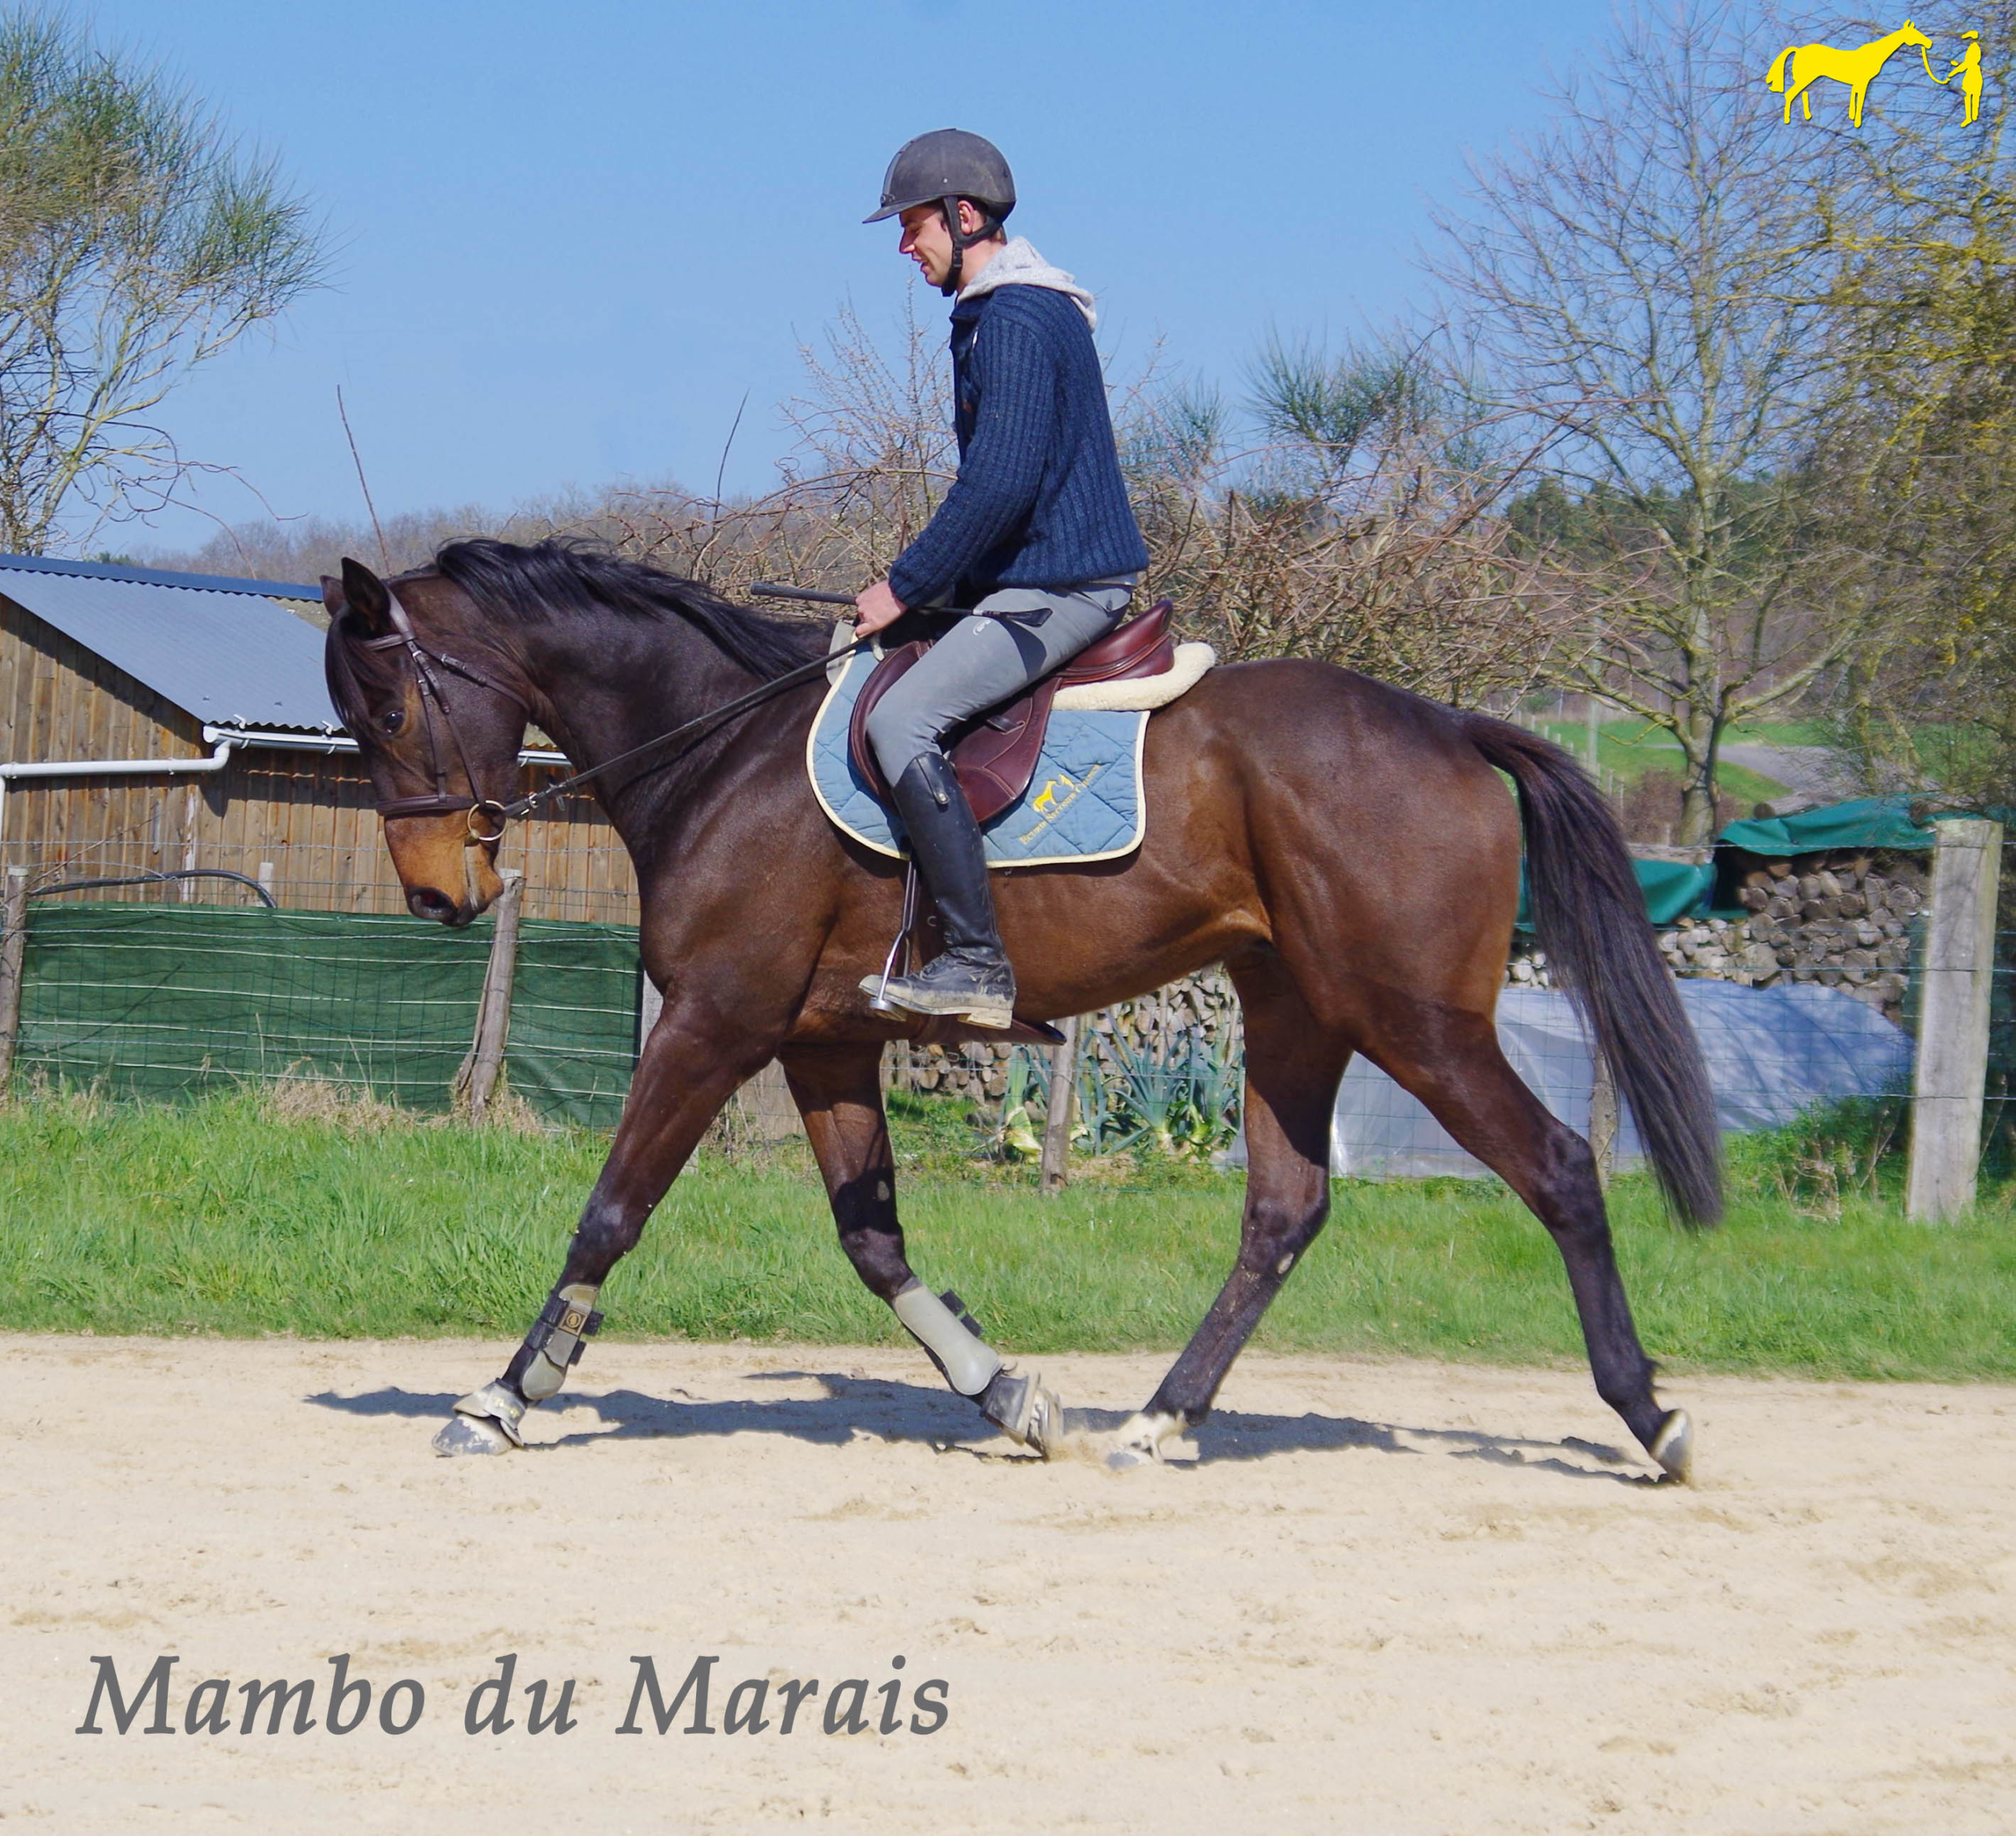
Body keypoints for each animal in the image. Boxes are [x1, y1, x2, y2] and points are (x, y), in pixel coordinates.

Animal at [326, 540, 1718, 1474]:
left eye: (387, 707)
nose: (438, 895)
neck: (723, 746)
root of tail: (1454, 726)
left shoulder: (714, 1023)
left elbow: (610, 1211)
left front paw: (505, 1394)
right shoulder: (823, 1043)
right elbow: (874, 1240)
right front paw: (1011, 1396)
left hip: (1415, 1021)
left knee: (1559, 1167)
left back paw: (1652, 1416)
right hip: (1297, 1014)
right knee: (1283, 1211)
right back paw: (1159, 1417)